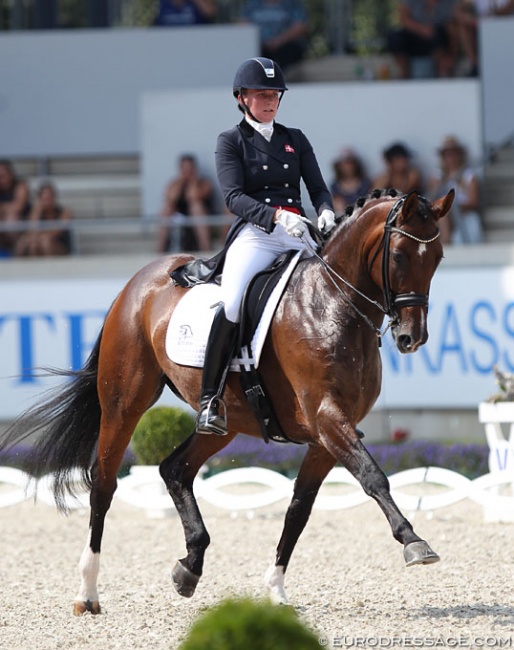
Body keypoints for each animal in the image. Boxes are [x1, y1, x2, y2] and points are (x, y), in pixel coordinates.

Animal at [1, 187, 452, 612]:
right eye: (398, 255)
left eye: (438, 257)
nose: (412, 338)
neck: (331, 304)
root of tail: (138, 282)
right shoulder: (327, 418)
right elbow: (374, 477)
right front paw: (415, 542)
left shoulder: (329, 435)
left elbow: (299, 508)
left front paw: (275, 587)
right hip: (124, 401)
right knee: (104, 483)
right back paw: (88, 591)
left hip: (225, 419)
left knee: (175, 469)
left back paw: (189, 567)